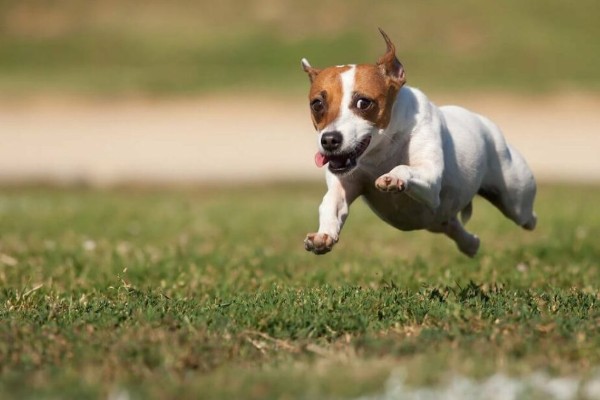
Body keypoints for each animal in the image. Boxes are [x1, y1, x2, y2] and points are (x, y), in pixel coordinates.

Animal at [302, 29, 536, 258]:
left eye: (363, 103)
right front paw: (323, 236)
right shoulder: (344, 184)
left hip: (516, 198)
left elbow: (406, 168)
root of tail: (485, 123)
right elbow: (331, 203)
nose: (329, 140)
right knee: (454, 227)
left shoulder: (431, 180)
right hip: (437, 221)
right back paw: (470, 244)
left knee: (527, 216)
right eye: (317, 104)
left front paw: (394, 177)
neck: (382, 151)